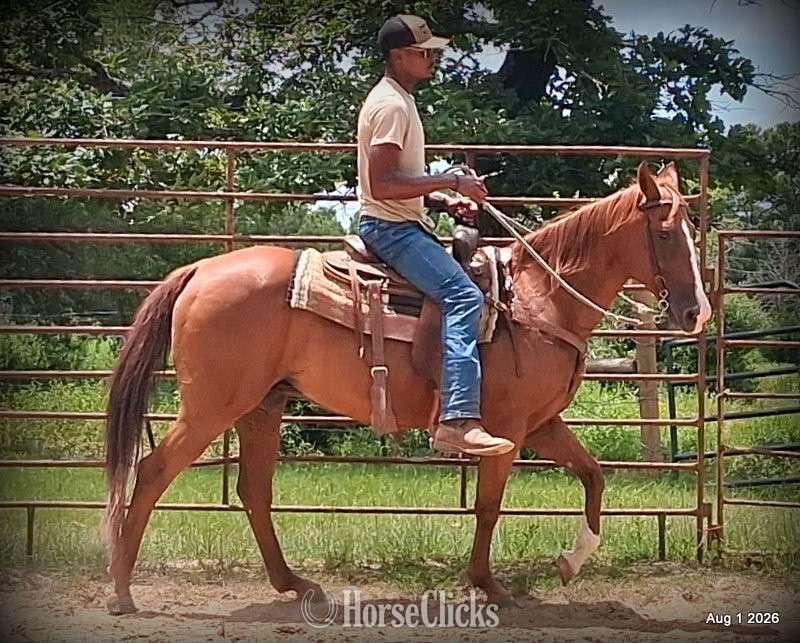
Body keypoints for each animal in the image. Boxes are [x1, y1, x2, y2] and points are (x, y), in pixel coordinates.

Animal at [102, 161, 711, 614]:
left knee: (254, 491)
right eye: (663, 233)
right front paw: (489, 585)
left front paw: (571, 560)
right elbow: (489, 506)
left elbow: (593, 476)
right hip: (211, 407)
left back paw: (295, 585)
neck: (539, 298)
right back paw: (122, 590)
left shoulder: (543, 424)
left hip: (261, 407)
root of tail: (200, 270)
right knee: (153, 472)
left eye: (693, 233)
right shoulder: (508, 429)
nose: (695, 313)